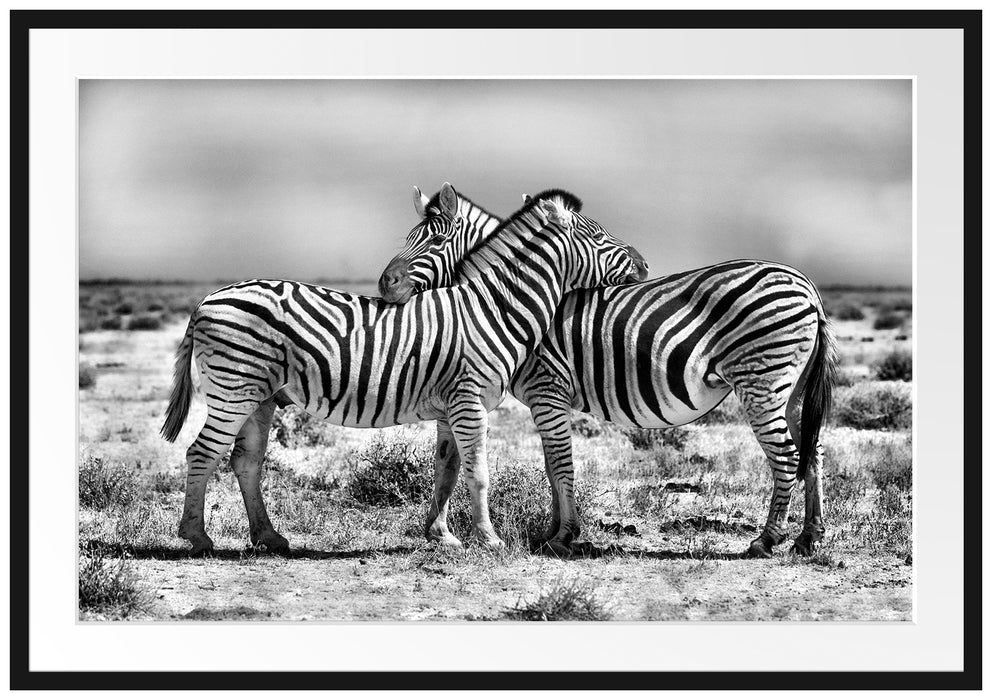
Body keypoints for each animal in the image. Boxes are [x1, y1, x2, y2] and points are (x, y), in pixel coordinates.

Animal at [161, 183, 647, 555]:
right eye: (599, 237)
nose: (644, 265)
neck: (493, 308)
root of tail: (205, 300)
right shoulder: (469, 400)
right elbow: (479, 471)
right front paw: (489, 540)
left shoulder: (452, 406)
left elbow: (447, 469)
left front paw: (443, 536)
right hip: (234, 388)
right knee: (200, 452)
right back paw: (197, 537)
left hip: (259, 396)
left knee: (245, 461)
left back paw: (269, 537)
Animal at [377, 188, 837, 559]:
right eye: (407, 239)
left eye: (435, 240)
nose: (385, 284)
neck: (506, 299)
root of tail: (808, 286)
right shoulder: (548, 399)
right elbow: (551, 465)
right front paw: (553, 532)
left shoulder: (547, 389)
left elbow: (560, 463)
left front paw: (563, 536)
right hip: (790, 387)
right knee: (812, 451)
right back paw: (808, 539)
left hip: (760, 381)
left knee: (787, 455)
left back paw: (767, 540)